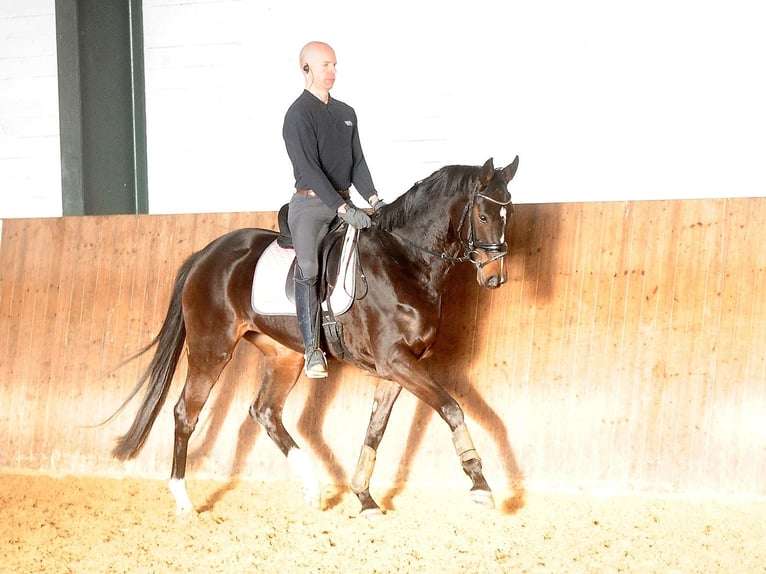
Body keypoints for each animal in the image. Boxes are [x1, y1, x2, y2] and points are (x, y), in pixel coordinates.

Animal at [112, 156, 520, 516]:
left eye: (509, 215)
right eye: (483, 216)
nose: (495, 278)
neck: (404, 259)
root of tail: (205, 254)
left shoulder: (399, 366)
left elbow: (376, 429)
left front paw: (364, 497)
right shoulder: (394, 360)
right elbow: (451, 408)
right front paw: (480, 485)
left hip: (285, 356)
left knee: (265, 412)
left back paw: (312, 489)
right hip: (211, 348)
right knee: (186, 413)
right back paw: (183, 501)